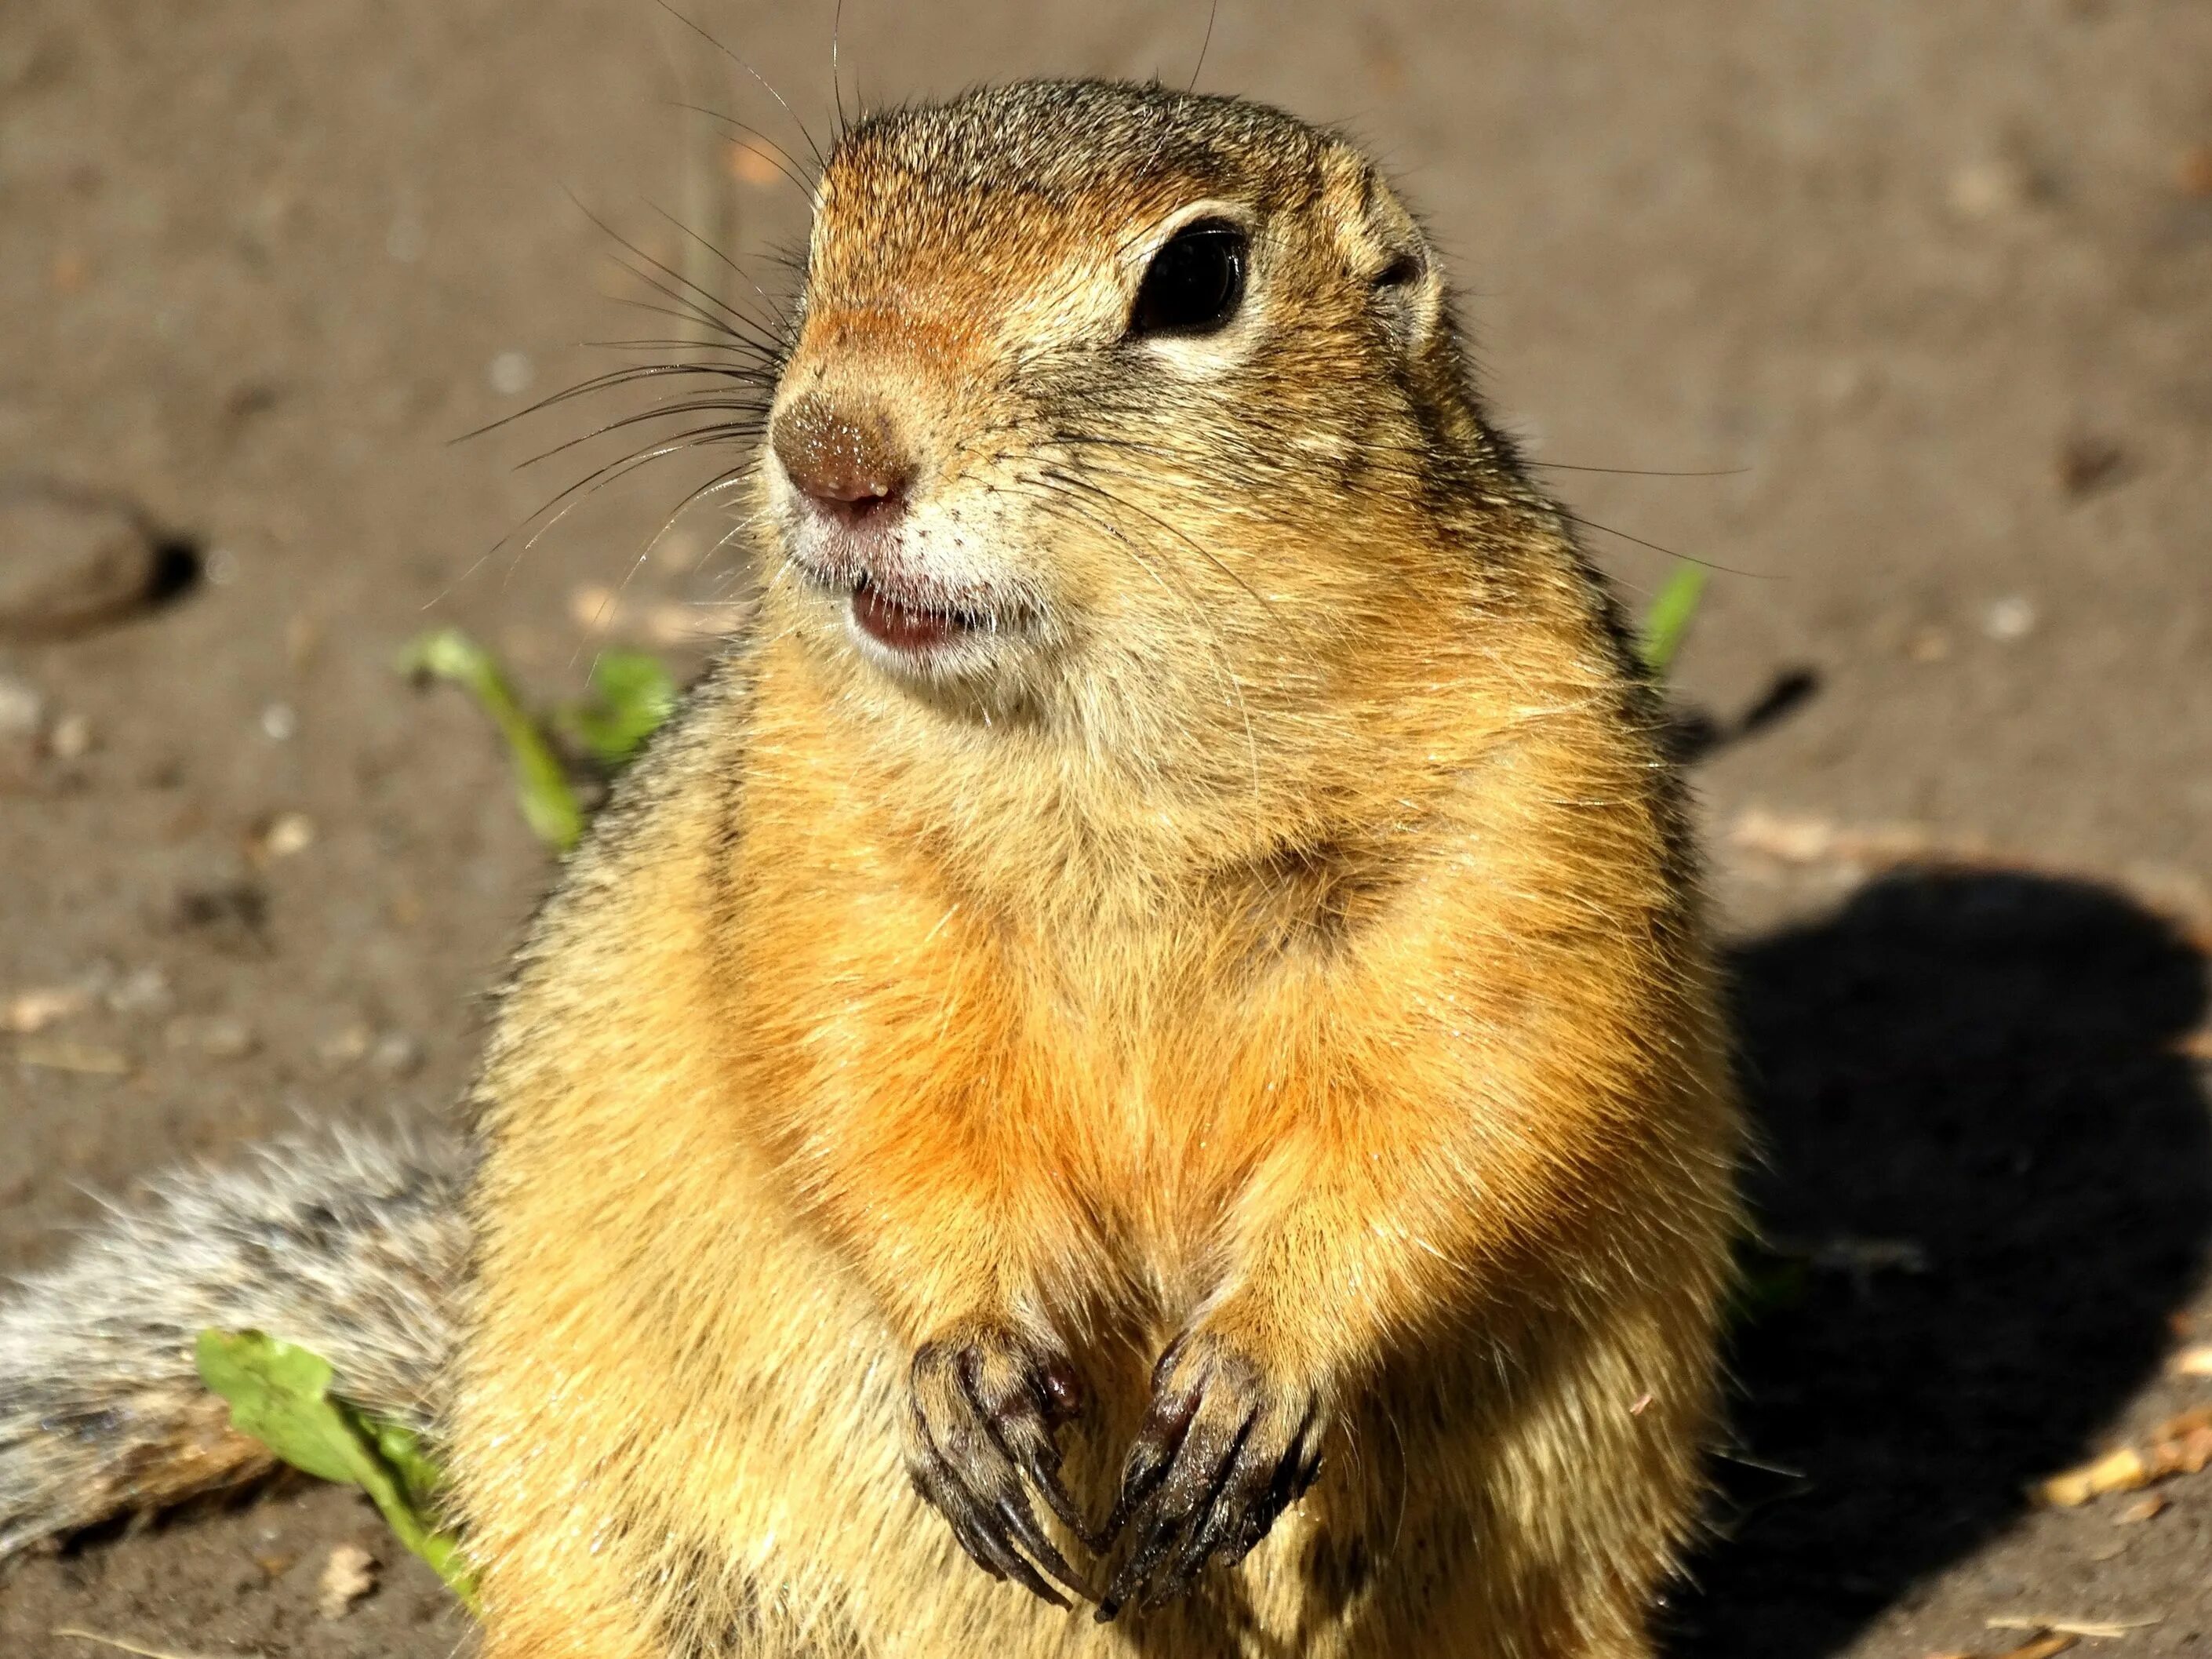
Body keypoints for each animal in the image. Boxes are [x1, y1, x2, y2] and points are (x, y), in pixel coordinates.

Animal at [0, 78, 1743, 1659]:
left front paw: (1253, 1370)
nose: (832, 446)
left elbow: (1472, 1106)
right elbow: (863, 1105)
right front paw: (965, 1360)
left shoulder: (1532, 813)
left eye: (1200, 278)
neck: (1107, 755)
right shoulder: (817, 853)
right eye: (828, 229)